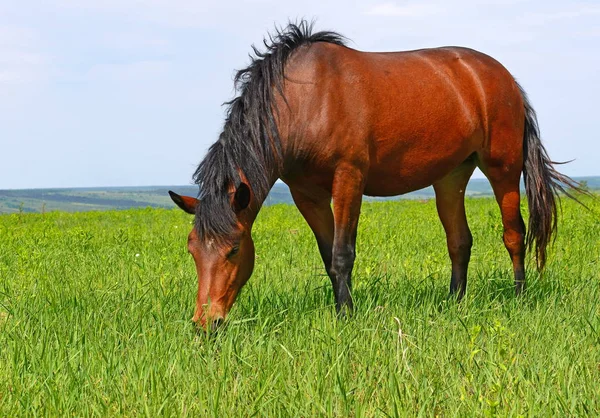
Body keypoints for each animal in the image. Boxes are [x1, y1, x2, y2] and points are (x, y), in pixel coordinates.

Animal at [171, 21, 584, 330]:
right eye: (192, 249)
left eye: (233, 249)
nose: (205, 323)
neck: (304, 101)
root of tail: (505, 78)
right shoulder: (306, 193)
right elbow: (327, 255)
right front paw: (342, 310)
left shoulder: (348, 179)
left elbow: (342, 253)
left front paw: (347, 319)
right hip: (450, 177)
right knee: (460, 241)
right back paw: (454, 302)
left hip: (503, 168)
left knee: (514, 234)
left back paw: (519, 297)